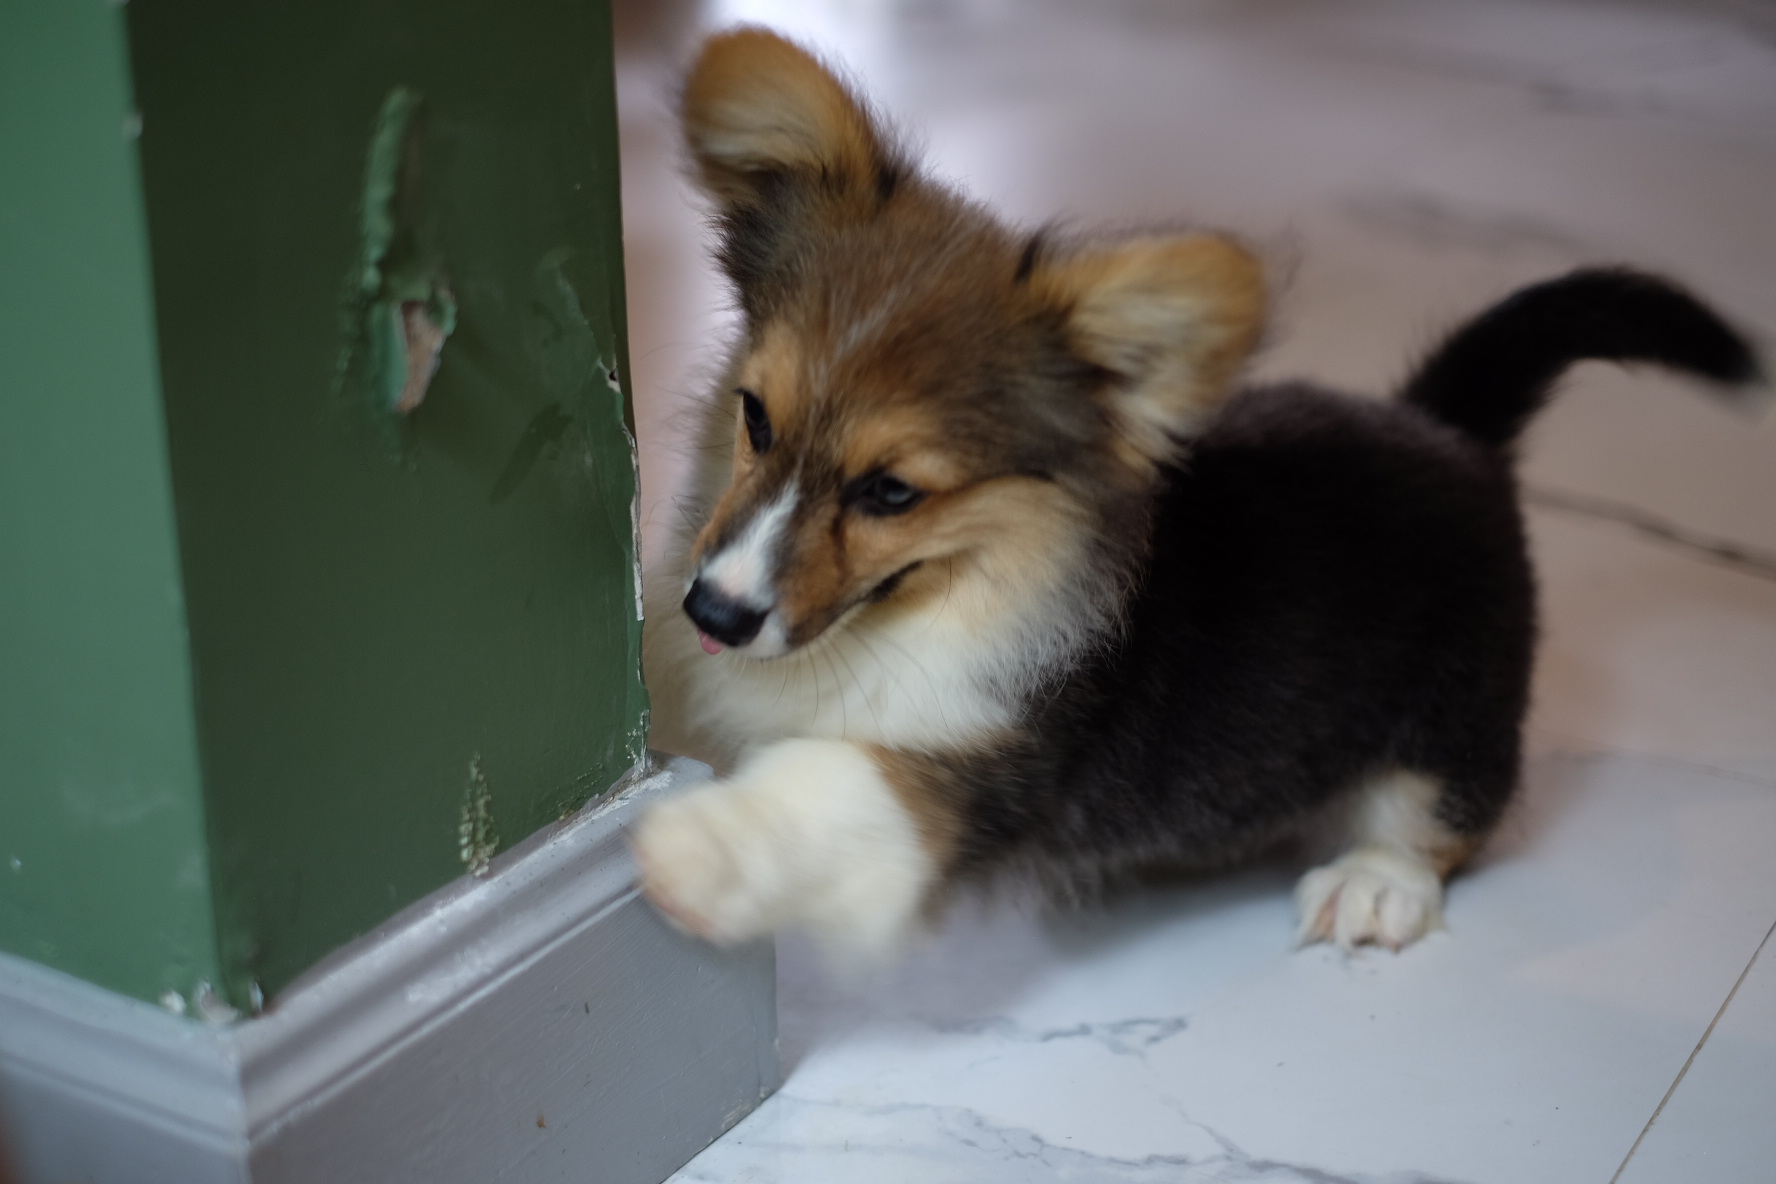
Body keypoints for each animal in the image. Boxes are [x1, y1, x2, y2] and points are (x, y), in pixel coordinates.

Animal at [630, 27, 1762, 960]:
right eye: (755, 417)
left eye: (894, 491)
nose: (714, 613)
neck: (950, 596)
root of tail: (1448, 423)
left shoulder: (967, 780)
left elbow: (820, 786)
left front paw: (685, 843)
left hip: (1454, 716)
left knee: (1438, 815)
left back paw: (1373, 886)